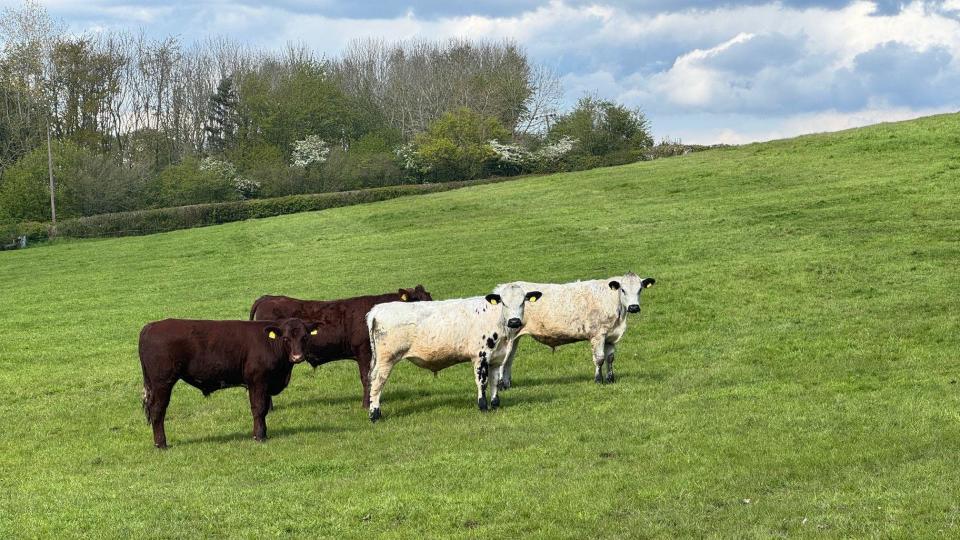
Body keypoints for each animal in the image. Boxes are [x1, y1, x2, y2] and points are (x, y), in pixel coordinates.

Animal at [139, 316, 318, 448]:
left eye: (304, 337)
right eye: (286, 338)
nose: (297, 357)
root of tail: (151, 326)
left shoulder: (266, 384)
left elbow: (265, 409)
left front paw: (264, 434)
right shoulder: (257, 381)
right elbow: (259, 408)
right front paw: (259, 436)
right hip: (162, 383)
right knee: (157, 410)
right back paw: (161, 444)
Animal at [366, 282, 544, 422]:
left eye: (523, 302)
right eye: (504, 303)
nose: (514, 321)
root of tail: (377, 309)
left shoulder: (496, 358)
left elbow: (494, 381)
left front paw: (495, 405)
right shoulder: (480, 356)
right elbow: (482, 382)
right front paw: (483, 406)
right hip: (386, 359)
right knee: (377, 382)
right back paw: (375, 414)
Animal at [492, 274, 656, 388]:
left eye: (640, 289)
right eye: (623, 289)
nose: (634, 307)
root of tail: (502, 287)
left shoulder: (611, 336)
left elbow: (610, 358)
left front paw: (611, 379)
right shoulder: (597, 335)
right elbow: (599, 359)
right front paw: (598, 380)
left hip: (515, 338)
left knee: (508, 361)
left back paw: (507, 384)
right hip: (508, 336)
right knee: (503, 361)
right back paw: (501, 386)